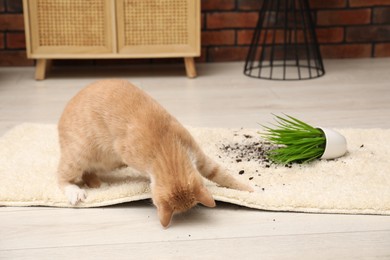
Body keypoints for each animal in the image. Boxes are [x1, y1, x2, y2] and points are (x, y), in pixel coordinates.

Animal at [57, 79, 253, 228]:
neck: (163, 147)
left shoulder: (197, 155)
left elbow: (221, 174)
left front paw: (248, 190)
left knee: (88, 171)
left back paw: (97, 182)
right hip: (80, 155)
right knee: (62, 176)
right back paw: (74, 191)